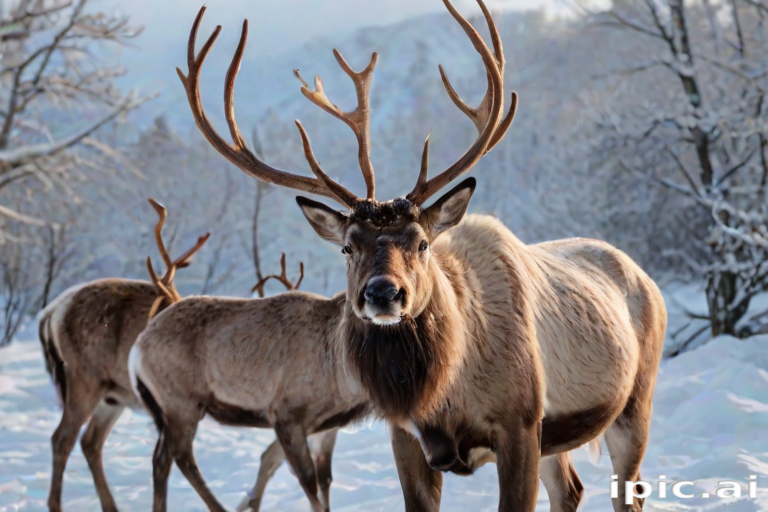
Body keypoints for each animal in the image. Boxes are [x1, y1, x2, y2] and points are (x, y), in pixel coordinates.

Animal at [37, 198, 209, 512]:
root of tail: (50, 314)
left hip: (113, 395)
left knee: (90, 442)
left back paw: (111, 505)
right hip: (84, 380)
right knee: (62, 438)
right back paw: (56, 504)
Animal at [128, 248, 366, 512]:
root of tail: (137, 349)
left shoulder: (326, 424)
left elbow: (320, 476)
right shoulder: (288, 414)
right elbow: (306, 479)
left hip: (167, 410)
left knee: (161, 460)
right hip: (181, 404)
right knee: (181, 458)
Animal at [177, 1, 668, 511]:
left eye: (422, 242)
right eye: (348, 245)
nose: (383, 293)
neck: (443, 393)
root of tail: (644, 277)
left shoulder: (520, 422)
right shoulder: (406, 436)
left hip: (636, 400)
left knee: (628, 491)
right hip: (561, 436)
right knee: (571, 488)